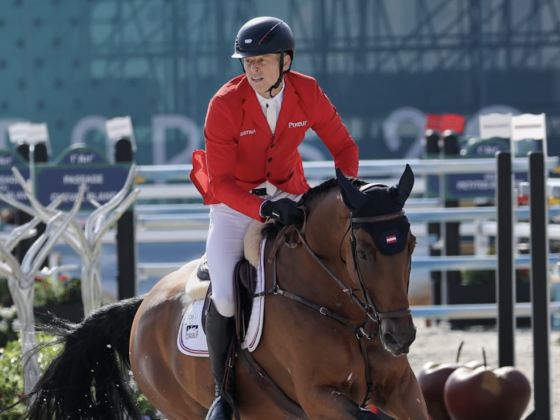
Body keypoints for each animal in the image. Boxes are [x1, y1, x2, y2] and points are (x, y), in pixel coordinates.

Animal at [24, 167, 426, 420]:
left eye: (411, 244)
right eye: (363, 253)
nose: (399, 337)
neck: (347, 315)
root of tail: (141, 307)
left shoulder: (402, 389)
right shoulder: (319, 396)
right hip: (182, 406)